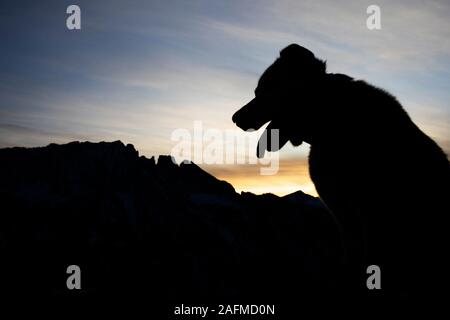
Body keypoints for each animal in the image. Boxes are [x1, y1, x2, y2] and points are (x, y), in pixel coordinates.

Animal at [234, 43, 448, 302]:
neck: (329, 120)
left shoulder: (370, 215)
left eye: (264, 91)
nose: (235, 118)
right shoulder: (344, 215)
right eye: (257, 91)